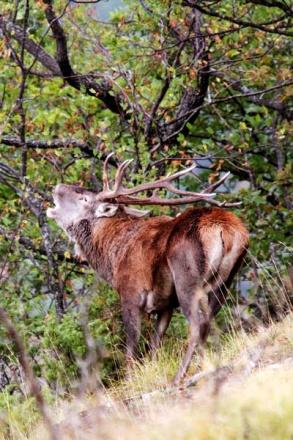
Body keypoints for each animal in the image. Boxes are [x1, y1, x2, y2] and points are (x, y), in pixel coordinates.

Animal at [46, 155, 248, 384]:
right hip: (226, 281)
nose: (57, 187)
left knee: (197, 325)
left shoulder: (131, 295)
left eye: (84, 199)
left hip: (187, 278)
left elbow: (132, 346)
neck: (112, 258)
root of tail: (226, 230)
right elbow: (154, 344)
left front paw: (130, 381)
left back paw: (181, 376)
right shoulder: (165, 305)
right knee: (210, 322)